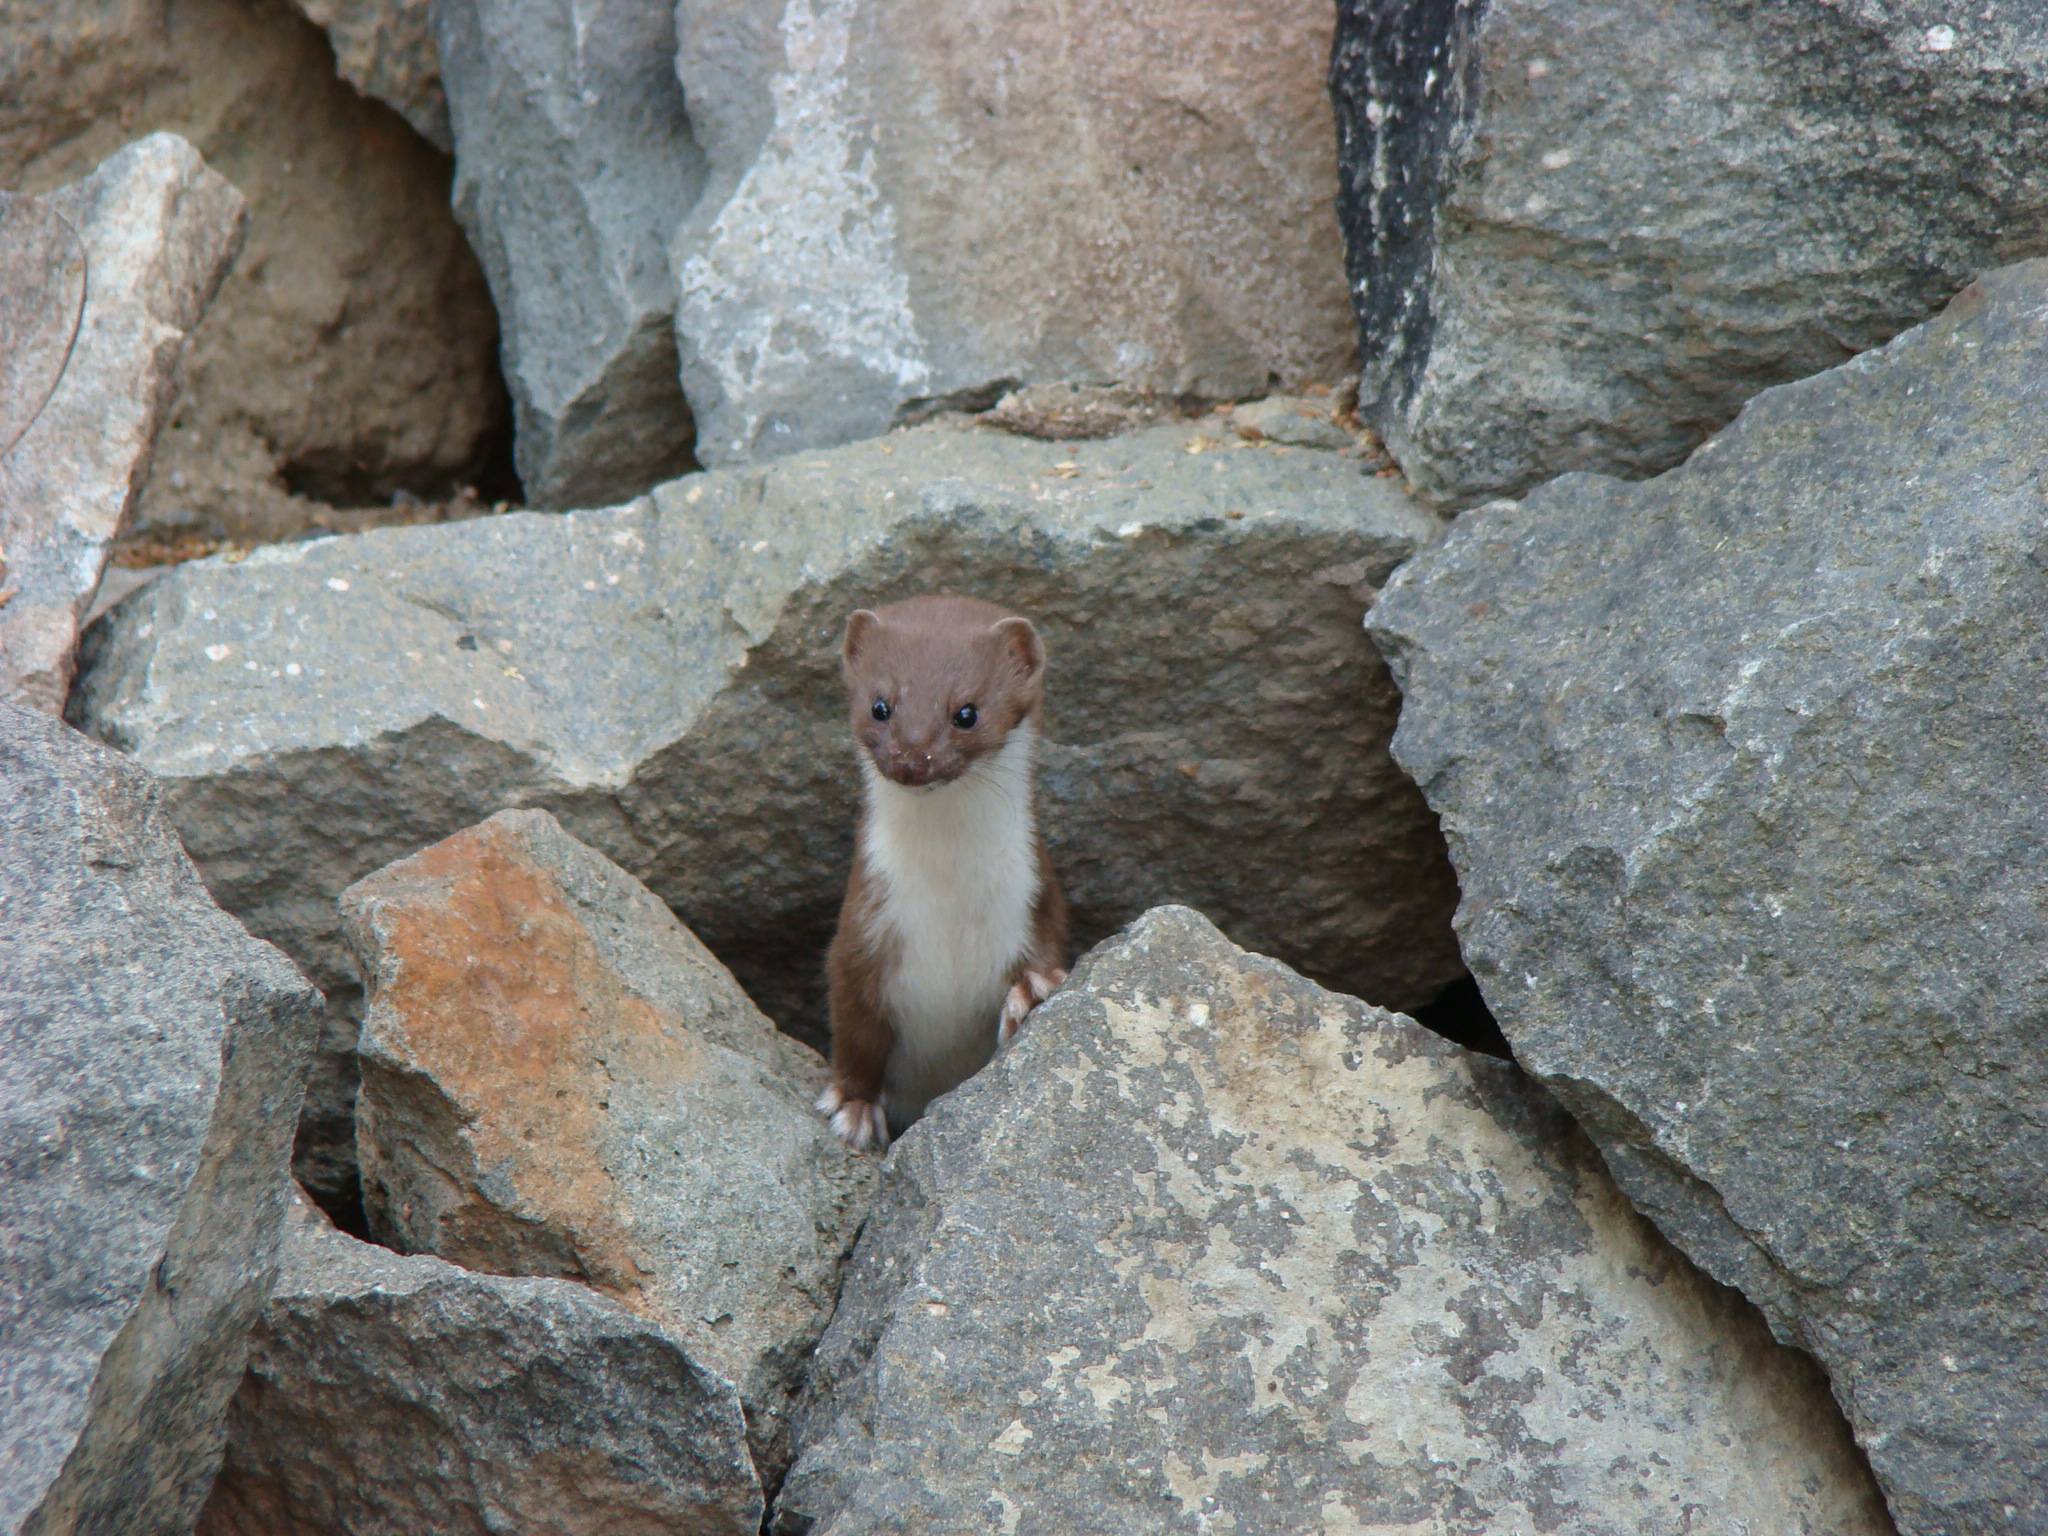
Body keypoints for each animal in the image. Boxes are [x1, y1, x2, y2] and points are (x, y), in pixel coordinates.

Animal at [815, 593, 1073, 1146]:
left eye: (966, 712)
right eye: (881, 705)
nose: (913, 757)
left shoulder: (1036, 898)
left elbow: (1046, 951)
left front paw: (1031, 991)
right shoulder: (862, 928)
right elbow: (854, 1028)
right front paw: (853, 1106)